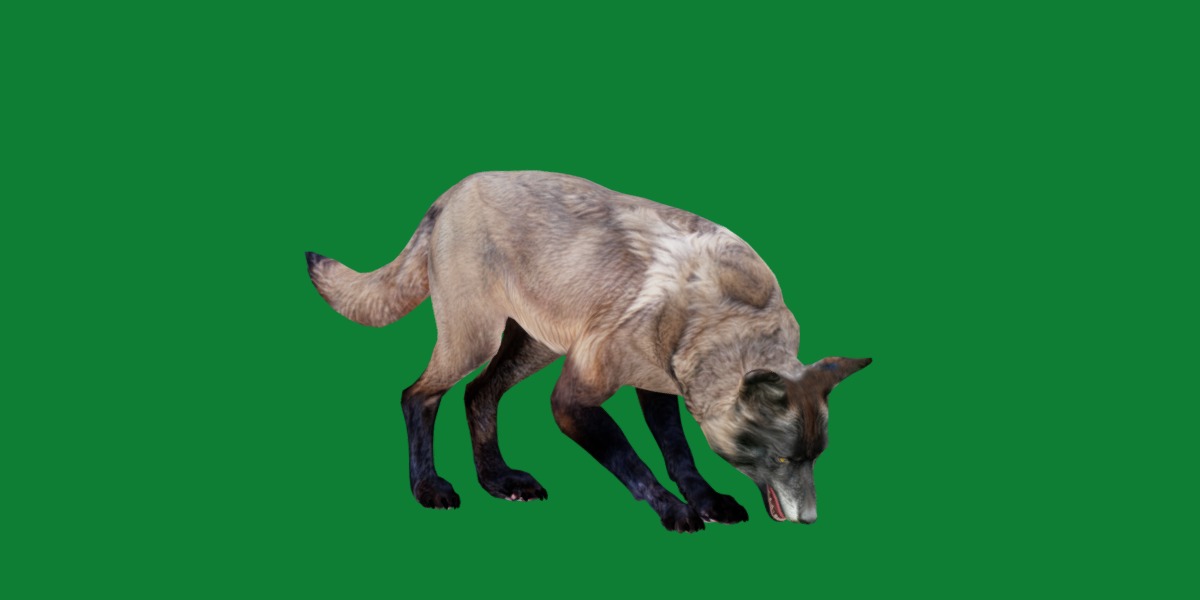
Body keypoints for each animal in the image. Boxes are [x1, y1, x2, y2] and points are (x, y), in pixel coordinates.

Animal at [306, 171, 870, 532]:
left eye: (816, 458)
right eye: (783, 457)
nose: (810, 521)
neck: (710, 312)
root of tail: (452, 191)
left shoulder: (656, 385)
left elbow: (679, 454)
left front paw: (707, 500)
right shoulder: (572, 400)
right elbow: (634, 462)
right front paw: (674, 511)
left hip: (533, 347)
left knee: (477, 395)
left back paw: (497, 480)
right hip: (476, 341)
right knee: (417, 395)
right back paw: (428, 487)